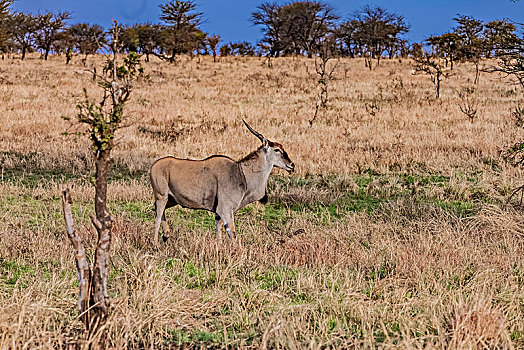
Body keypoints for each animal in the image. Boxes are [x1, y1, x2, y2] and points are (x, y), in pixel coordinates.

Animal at [149, 120, 294, 249]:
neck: (240, 173)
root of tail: (154, 165)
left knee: (158, 211)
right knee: (157, 217)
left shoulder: (218, 213)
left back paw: (166, 235)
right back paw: (156, 245)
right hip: (162, 196)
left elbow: (218, 230)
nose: (292, 165)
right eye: (276, 150)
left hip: (172, 199)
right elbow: (232, 233)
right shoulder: (225, 210)